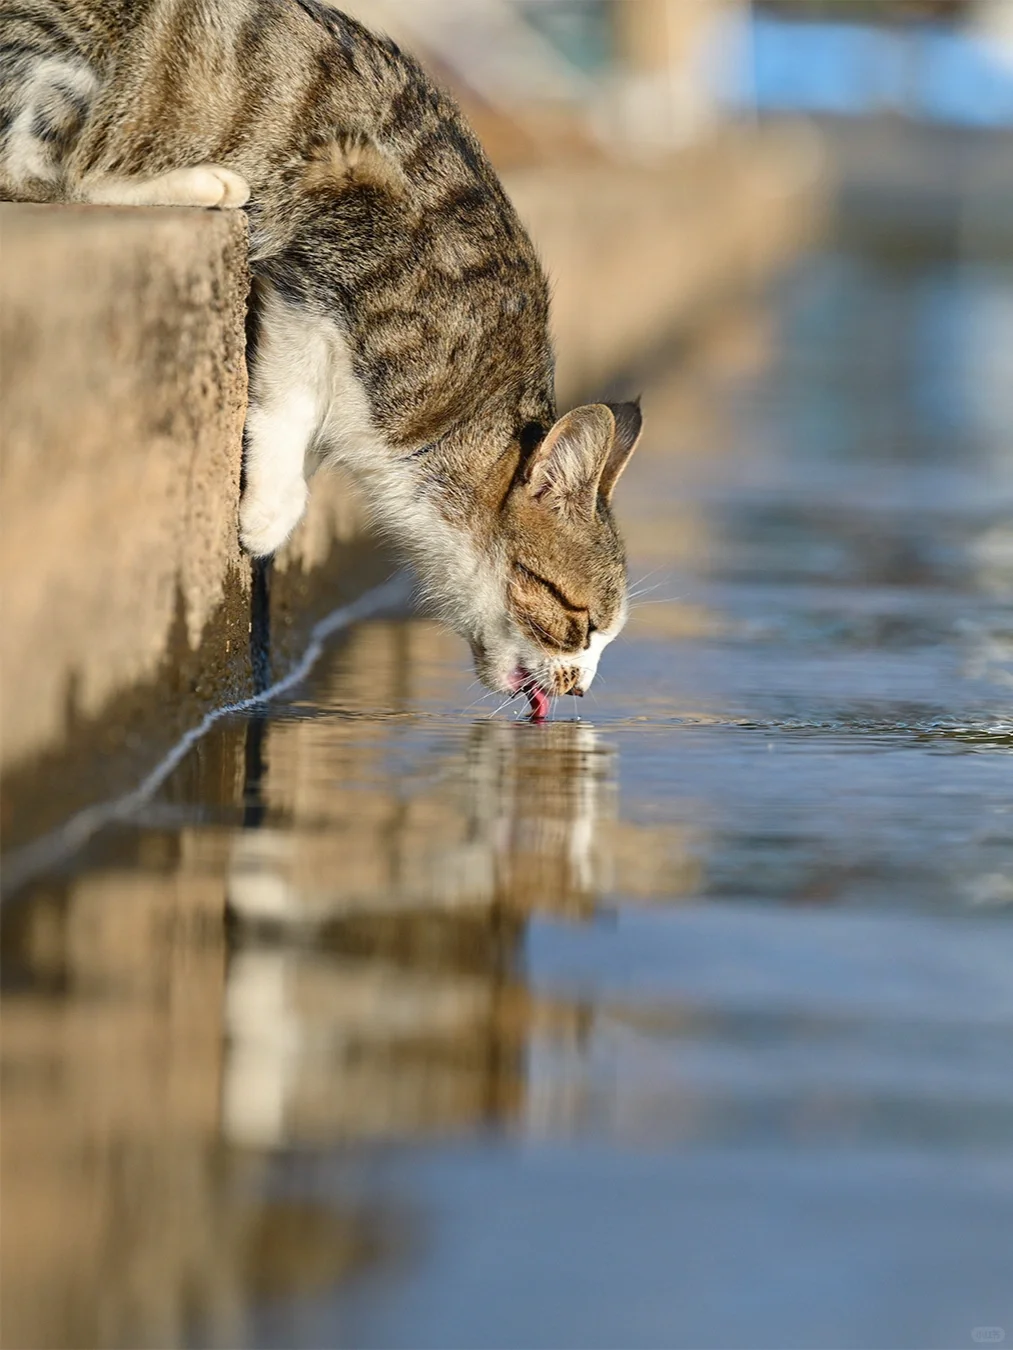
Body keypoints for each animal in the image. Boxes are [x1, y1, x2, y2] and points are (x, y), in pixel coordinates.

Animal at [0, 0, 645, 718]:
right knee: (37, 178)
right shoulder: (329, 239)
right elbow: (295, 396)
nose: (582, 687)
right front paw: (271, 508)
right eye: (582, 622)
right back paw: (200, 184)